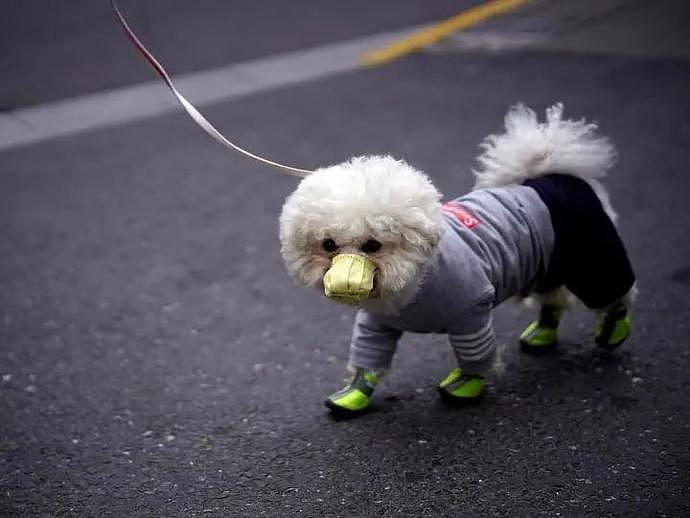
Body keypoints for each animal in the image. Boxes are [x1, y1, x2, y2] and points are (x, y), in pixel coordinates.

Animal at [276, 103, 632, 416]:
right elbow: (368, 359)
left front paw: (464, 388)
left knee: (614, 293)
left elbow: (474, 358)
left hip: (591, 257)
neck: (413, 286)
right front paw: (354, 395)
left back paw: (613, 329)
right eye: (329, 245)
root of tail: (550, 176)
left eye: (373, 245)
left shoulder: (471, 314)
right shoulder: (376, 322)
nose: (341, 280)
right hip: (548, 265)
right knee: (553, 299)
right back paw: (543, 333)